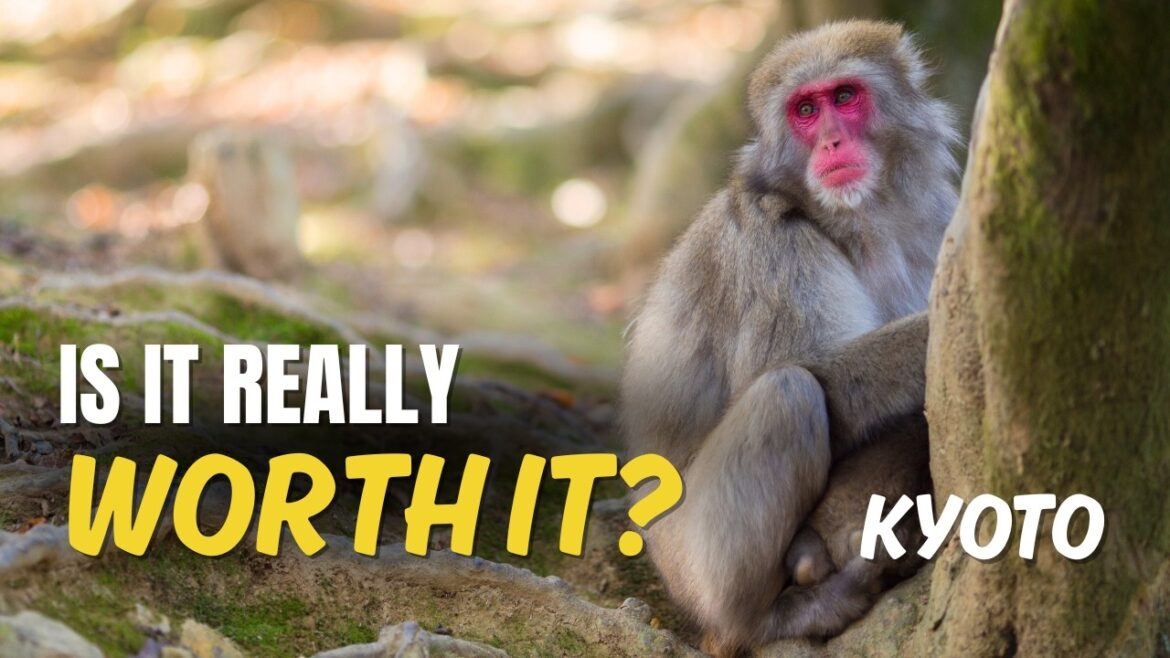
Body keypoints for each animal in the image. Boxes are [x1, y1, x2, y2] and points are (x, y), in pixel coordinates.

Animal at [619, 20, 959, 654]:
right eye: (805, 110)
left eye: (844, 97)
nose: (830, 143)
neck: (861, 220)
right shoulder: (769, 244)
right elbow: (804, 370)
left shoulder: (936, 216)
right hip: (692, 565)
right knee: (787, 393)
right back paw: (765, 618)